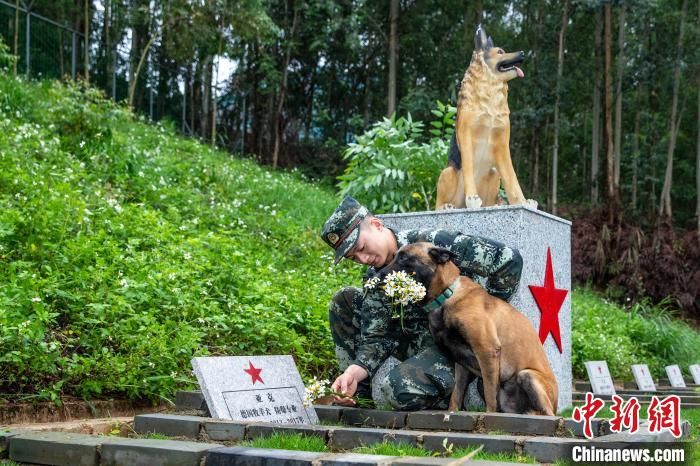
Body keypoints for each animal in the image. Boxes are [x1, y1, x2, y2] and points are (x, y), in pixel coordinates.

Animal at [380, 242, 556, 414]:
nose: (376, 275)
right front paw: (452, 412)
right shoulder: (461, 364)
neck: (447, 295)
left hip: (527, 376)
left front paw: (488, 416)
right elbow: (456, 395)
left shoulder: (487, 350)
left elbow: (490, 396)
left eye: (403, 257)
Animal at [432, 23, 536, 209]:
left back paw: (494, 205)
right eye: (500, 52)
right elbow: (468, 167)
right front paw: (472, 198)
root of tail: (460, 206)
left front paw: (523, 202)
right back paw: (448, 206)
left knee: (489, 198)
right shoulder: (465, 135)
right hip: (448, 172)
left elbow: (512, 177)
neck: (490, 96)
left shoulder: (502, 143)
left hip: (494, 174)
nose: (523, 53)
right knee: (438, 203)